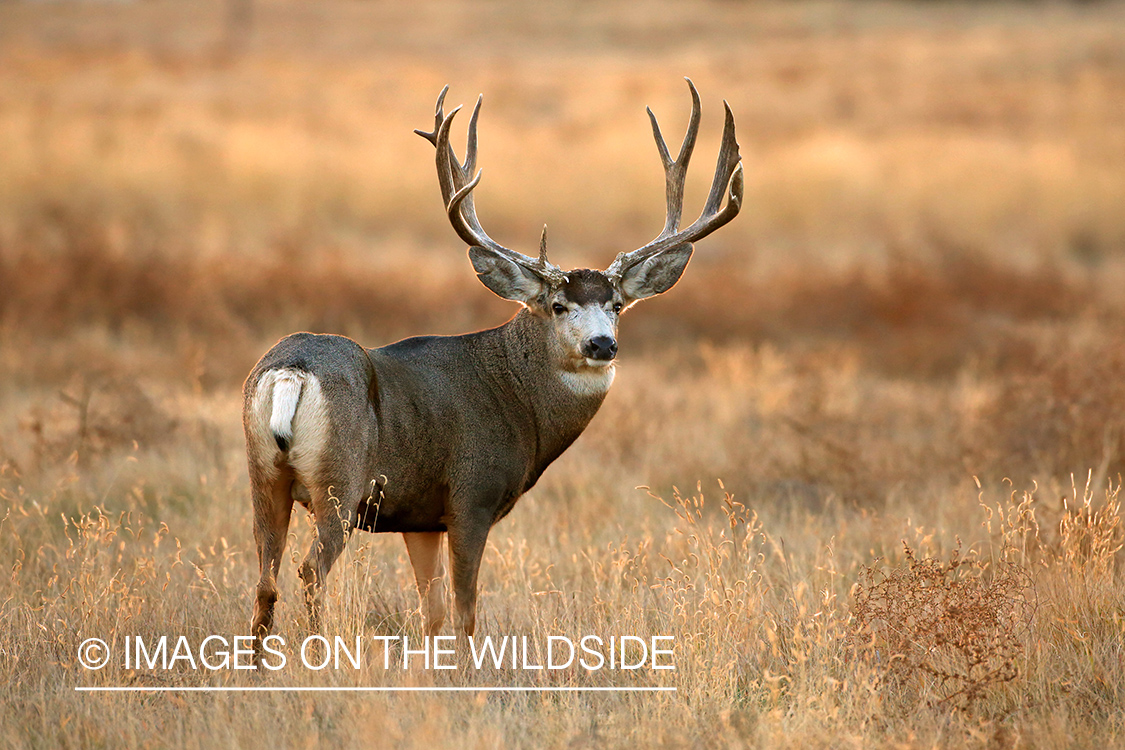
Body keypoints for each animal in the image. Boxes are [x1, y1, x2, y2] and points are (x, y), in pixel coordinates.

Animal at [243, 79, 743, 653]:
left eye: (617, 304)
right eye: (558, 305)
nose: (602, 344)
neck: (513, 396)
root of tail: (291, 371)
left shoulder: (419, 516)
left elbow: (432, 612)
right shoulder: (471, 496)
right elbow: (465, 610)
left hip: (263, 474)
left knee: (265, 580)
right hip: (339, 483)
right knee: (310, 571)